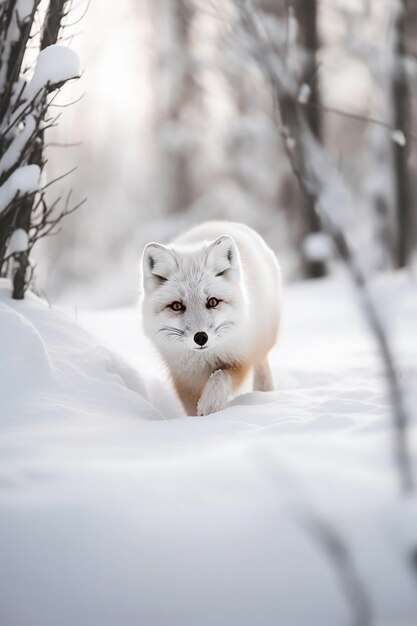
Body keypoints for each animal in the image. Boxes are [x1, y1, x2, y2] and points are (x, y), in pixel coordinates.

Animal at [141, 219, 282, 414]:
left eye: (213, 302)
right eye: (177, 306)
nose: (201, 337)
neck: (203, 360)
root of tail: (220, 222)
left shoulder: (239, 358)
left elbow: (219, 378)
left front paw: (209, 407)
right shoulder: (183, 377)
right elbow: (190, 409)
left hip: (263, 338)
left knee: (261, 363)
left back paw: (264, 393)